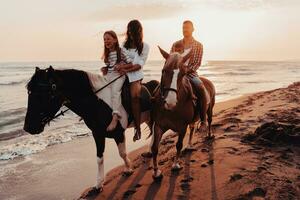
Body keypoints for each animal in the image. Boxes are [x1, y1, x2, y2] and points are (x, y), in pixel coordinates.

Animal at [23, 66, 159, 197]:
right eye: (29, 92)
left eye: (43, 93)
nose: (28, 127)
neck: (98, 104)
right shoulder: (97, 134)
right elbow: (99, 158)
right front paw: (98, 185)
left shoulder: (118, 133)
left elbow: (123, 153)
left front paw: (128, 169)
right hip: (147, 119)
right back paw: (149, 152)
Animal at [150, 46, 216, 180]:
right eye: (164, 71)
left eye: (183, 74)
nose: (170, 102)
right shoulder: (158, 126)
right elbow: (154, 148)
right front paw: (156, 171)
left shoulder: (182, 127)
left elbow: (178, 145)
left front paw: (175, 164)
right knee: (192, 128)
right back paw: (189, 145)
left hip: (210, 108)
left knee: (209, 121)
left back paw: (208, 134)